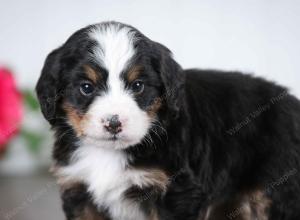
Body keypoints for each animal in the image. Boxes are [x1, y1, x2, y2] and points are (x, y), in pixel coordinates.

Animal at [36, 21, 300, 220]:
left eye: (138, 86)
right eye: (86, 87)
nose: (113, 123)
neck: (109, 154)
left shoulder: (176, 192)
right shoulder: (79, 192)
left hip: (277, 189)